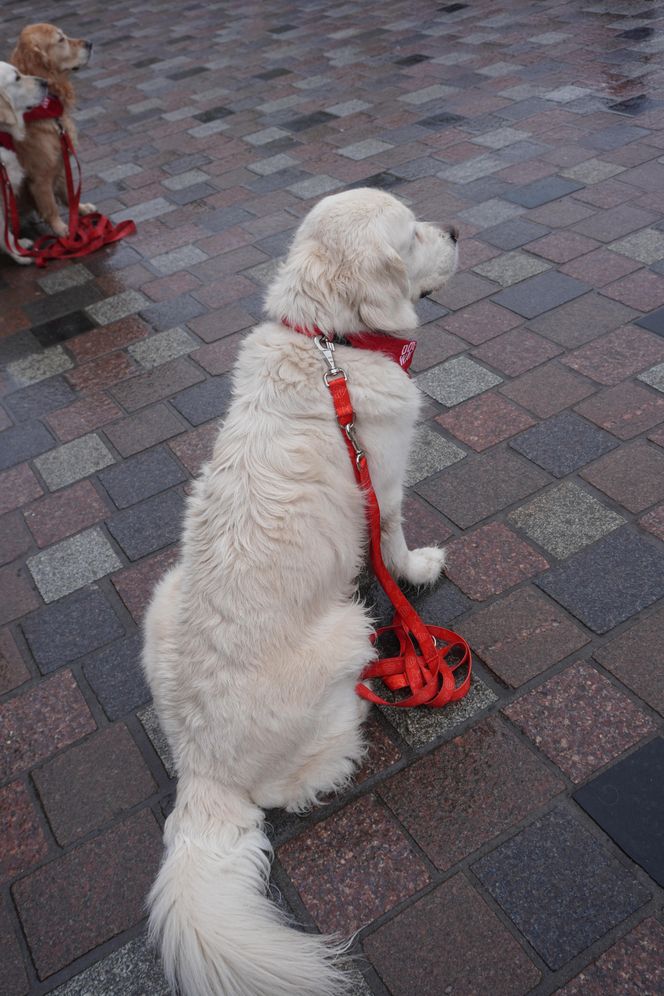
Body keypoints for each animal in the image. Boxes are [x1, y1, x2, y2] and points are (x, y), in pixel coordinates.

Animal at [11, 24, 94, 235]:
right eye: (61, 39)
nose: (90, 43)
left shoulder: (60, 161)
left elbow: (68, 192)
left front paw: (80, 209)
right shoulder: (39, 176)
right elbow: (50, 206)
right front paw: (62, 229)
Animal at [143, 189, 460, 996]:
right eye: (411, 236)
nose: (454, 228)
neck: (331, 345)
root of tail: (202, 774)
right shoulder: (382, 484)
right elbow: (393, 543)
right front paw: (417, 572)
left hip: (162, 596)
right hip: (346, 633)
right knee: (300, 778)